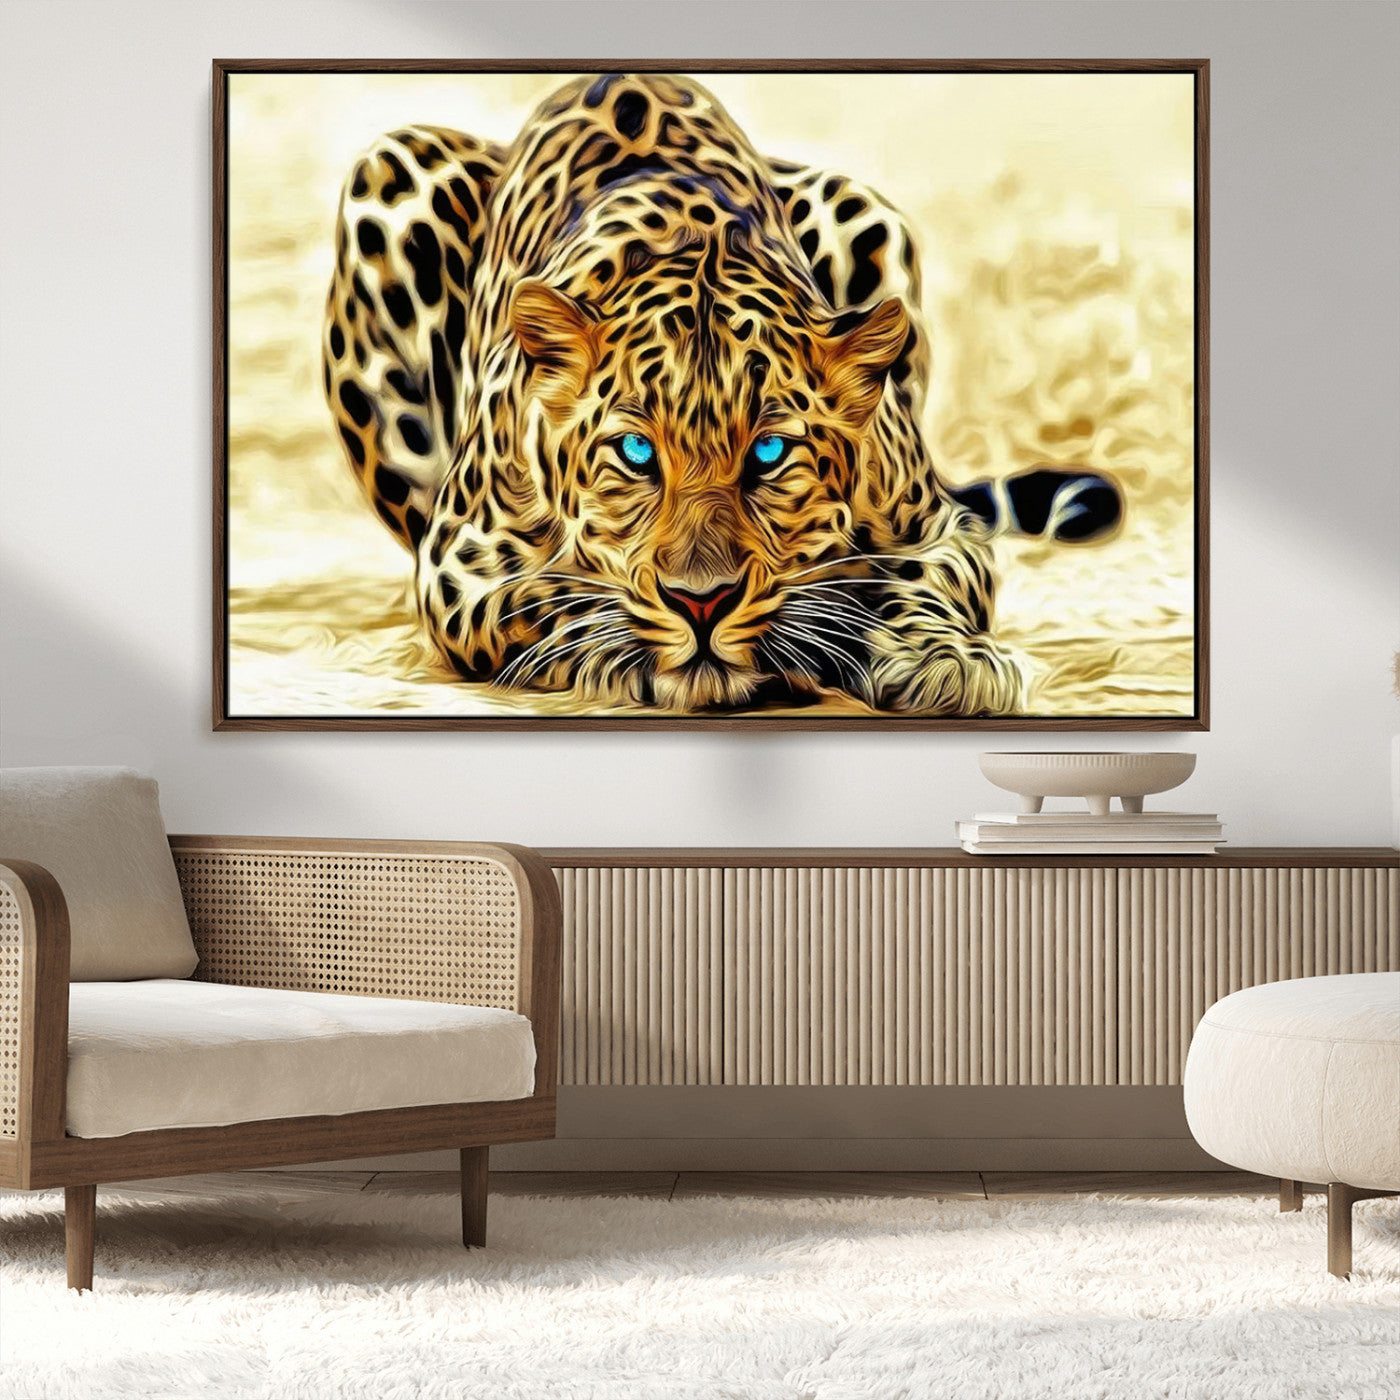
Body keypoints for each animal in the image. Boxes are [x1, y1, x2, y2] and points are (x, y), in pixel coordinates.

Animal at [322, 71, 1121, 715]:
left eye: (769, 454)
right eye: (636, 452)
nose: (701, 601)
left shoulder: (936, 526)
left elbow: (928, 580)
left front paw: (947, 659)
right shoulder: (461, 560)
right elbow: (551, 599)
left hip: (864, 209)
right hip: (392, 172)